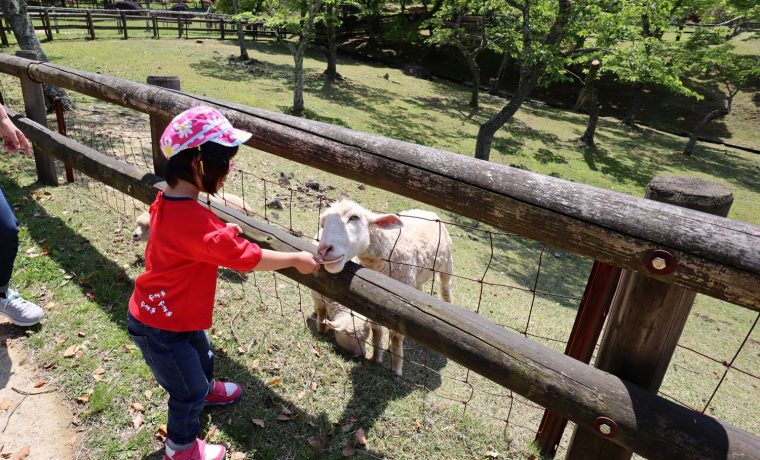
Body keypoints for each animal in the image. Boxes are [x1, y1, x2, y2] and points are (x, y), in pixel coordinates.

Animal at [314, 199, 452, 376]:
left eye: (354, 217)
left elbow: (396, 337)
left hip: (446, 265)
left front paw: (397, 369)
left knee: (446, 290)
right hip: (416, 280)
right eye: (322, 223)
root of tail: (427, 211)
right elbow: (376, 330)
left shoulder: (402, 305)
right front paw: (376, 358)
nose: (323, 250)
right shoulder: (371, 300)